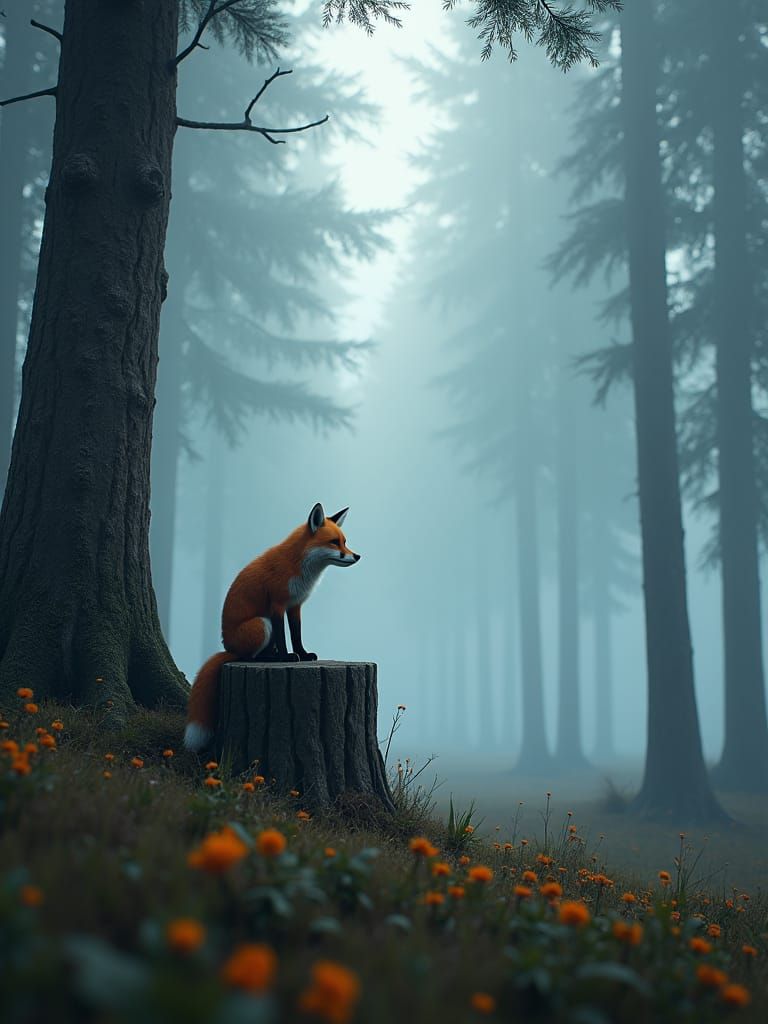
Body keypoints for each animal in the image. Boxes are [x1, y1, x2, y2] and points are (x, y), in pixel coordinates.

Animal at [184, 502, 361, 752]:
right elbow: (283, 636)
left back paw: (272, 654)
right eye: (334, 542)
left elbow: (296, 635)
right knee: (248, 657)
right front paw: (287, 657)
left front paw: (303, 654)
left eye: (344, 541)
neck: (299, 566)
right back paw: (269, 656)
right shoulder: (277, 605)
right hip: (261, 623)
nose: (357, 556)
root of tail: (227, 646)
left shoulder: (295, 605)